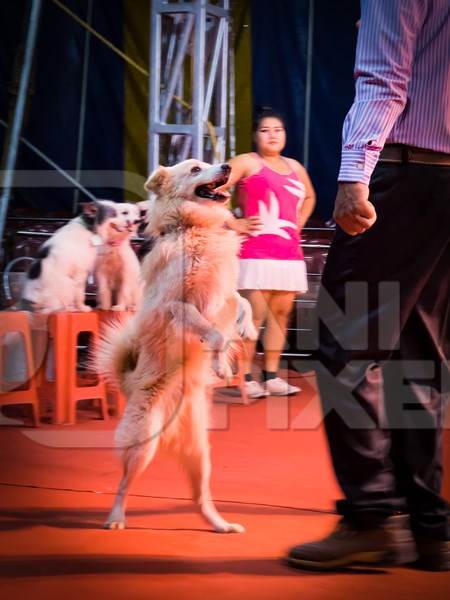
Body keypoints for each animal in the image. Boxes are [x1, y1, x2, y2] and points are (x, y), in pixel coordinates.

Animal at [99, 158, 258, 536]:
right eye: (196, 168)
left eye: (211, 163)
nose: (227, 165)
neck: (193, 227)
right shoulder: (177, 307)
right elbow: (213, 334)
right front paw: (220, 366)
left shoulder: (221, 294)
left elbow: (241, 301)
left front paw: (246, 327)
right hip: (142, 444)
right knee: (124, 483)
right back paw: (116, 518)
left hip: (201, 455)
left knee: (200, 497)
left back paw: (221, 525)